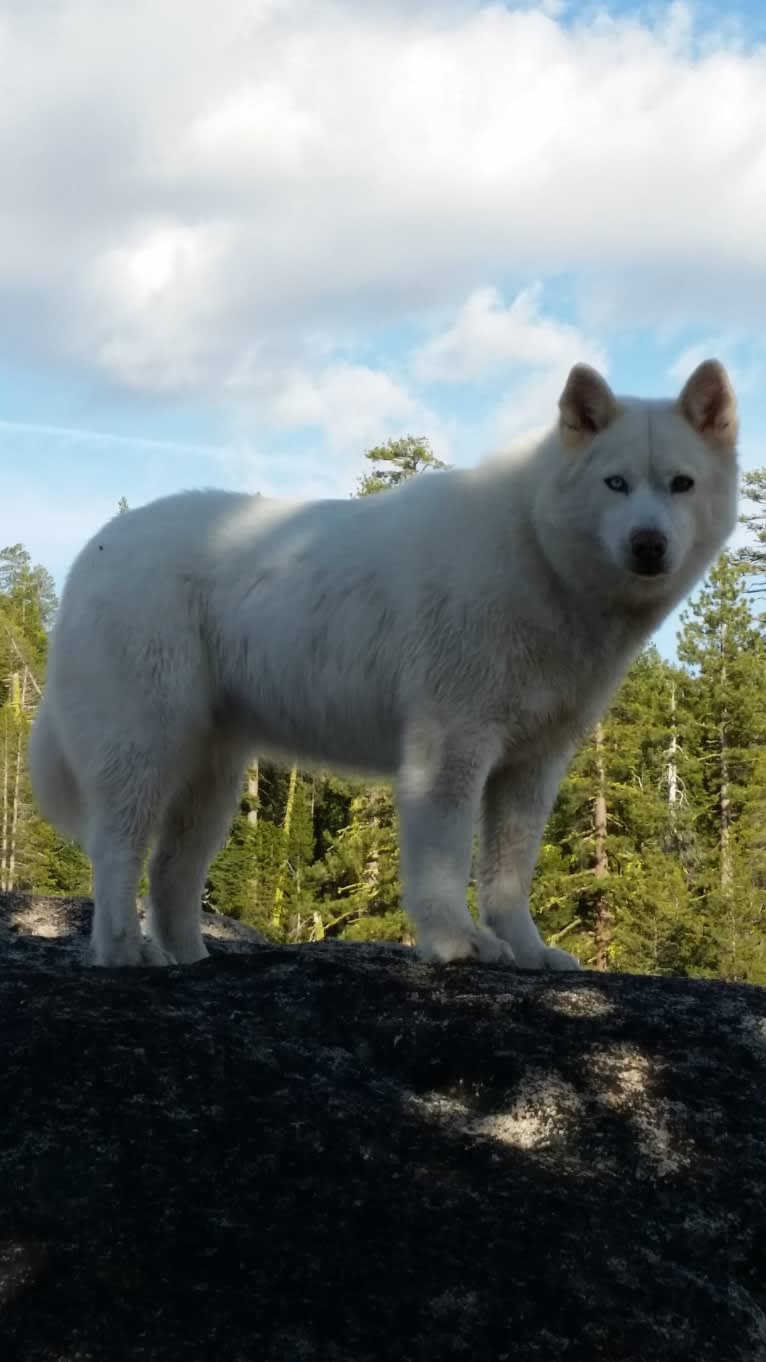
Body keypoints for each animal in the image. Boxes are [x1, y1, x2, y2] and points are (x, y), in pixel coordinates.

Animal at [29, 362, 736, 969]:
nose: (649, 545)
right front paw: (457, 944)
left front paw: (530, 953)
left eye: (681, 484)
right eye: (615, 483)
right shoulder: (449, 748)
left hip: (211, 782)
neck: (536, 552)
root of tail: (94, 551)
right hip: (144, 751)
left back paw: (191, 960)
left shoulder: (532, 766)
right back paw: (125, 953)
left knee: (170, 872)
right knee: (116, 853)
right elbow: (444, 860)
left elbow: (509, 875)